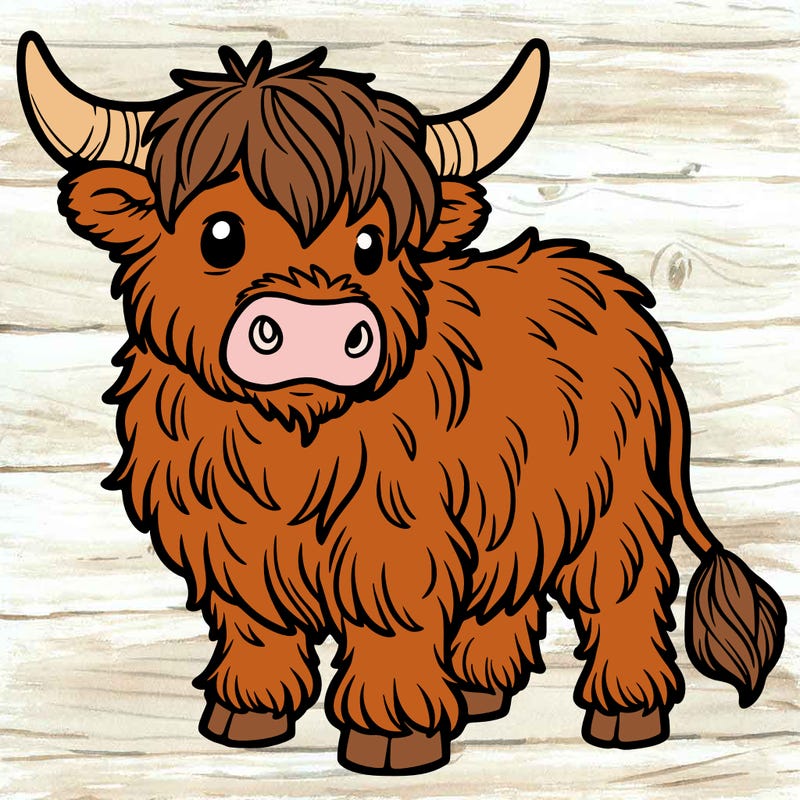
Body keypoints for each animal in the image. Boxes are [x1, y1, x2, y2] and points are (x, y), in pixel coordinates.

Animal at [17, 32, 786, 775]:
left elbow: (390, 624)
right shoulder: (226, 539)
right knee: (511, 588)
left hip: (611, 505)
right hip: (516, 503)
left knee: (621, 590)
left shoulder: (395, 539)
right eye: (220, 234)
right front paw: (246, 715)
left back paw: (626, 713)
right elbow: (256, 627)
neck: (293, 443)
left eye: (370, 242)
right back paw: (480, 691)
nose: (317, 330)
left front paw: (392, 738)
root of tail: (618, 294)